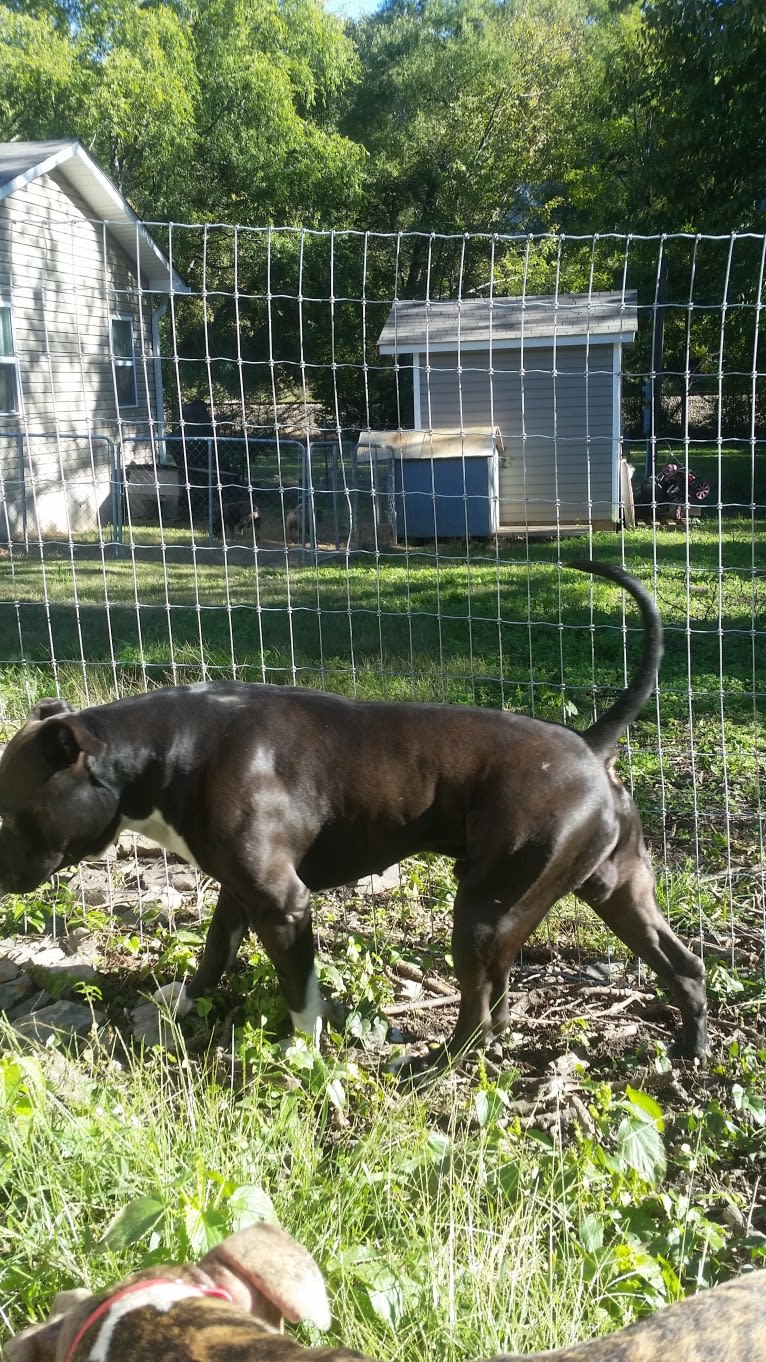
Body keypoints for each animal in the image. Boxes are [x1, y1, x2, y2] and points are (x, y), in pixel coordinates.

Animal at [0, 563, 703, 1073]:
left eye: (10, 812)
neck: (159, 753)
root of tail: (590, 744)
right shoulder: (239, 894)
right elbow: (213, 956)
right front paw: (186, 1004)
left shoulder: (283, 905)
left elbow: (300, 993)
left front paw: (301, 1052)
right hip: (613, 891)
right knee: (682, 969)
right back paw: (688, 1050)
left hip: (484, 912)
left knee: (481, 1011)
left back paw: (429, 1068)